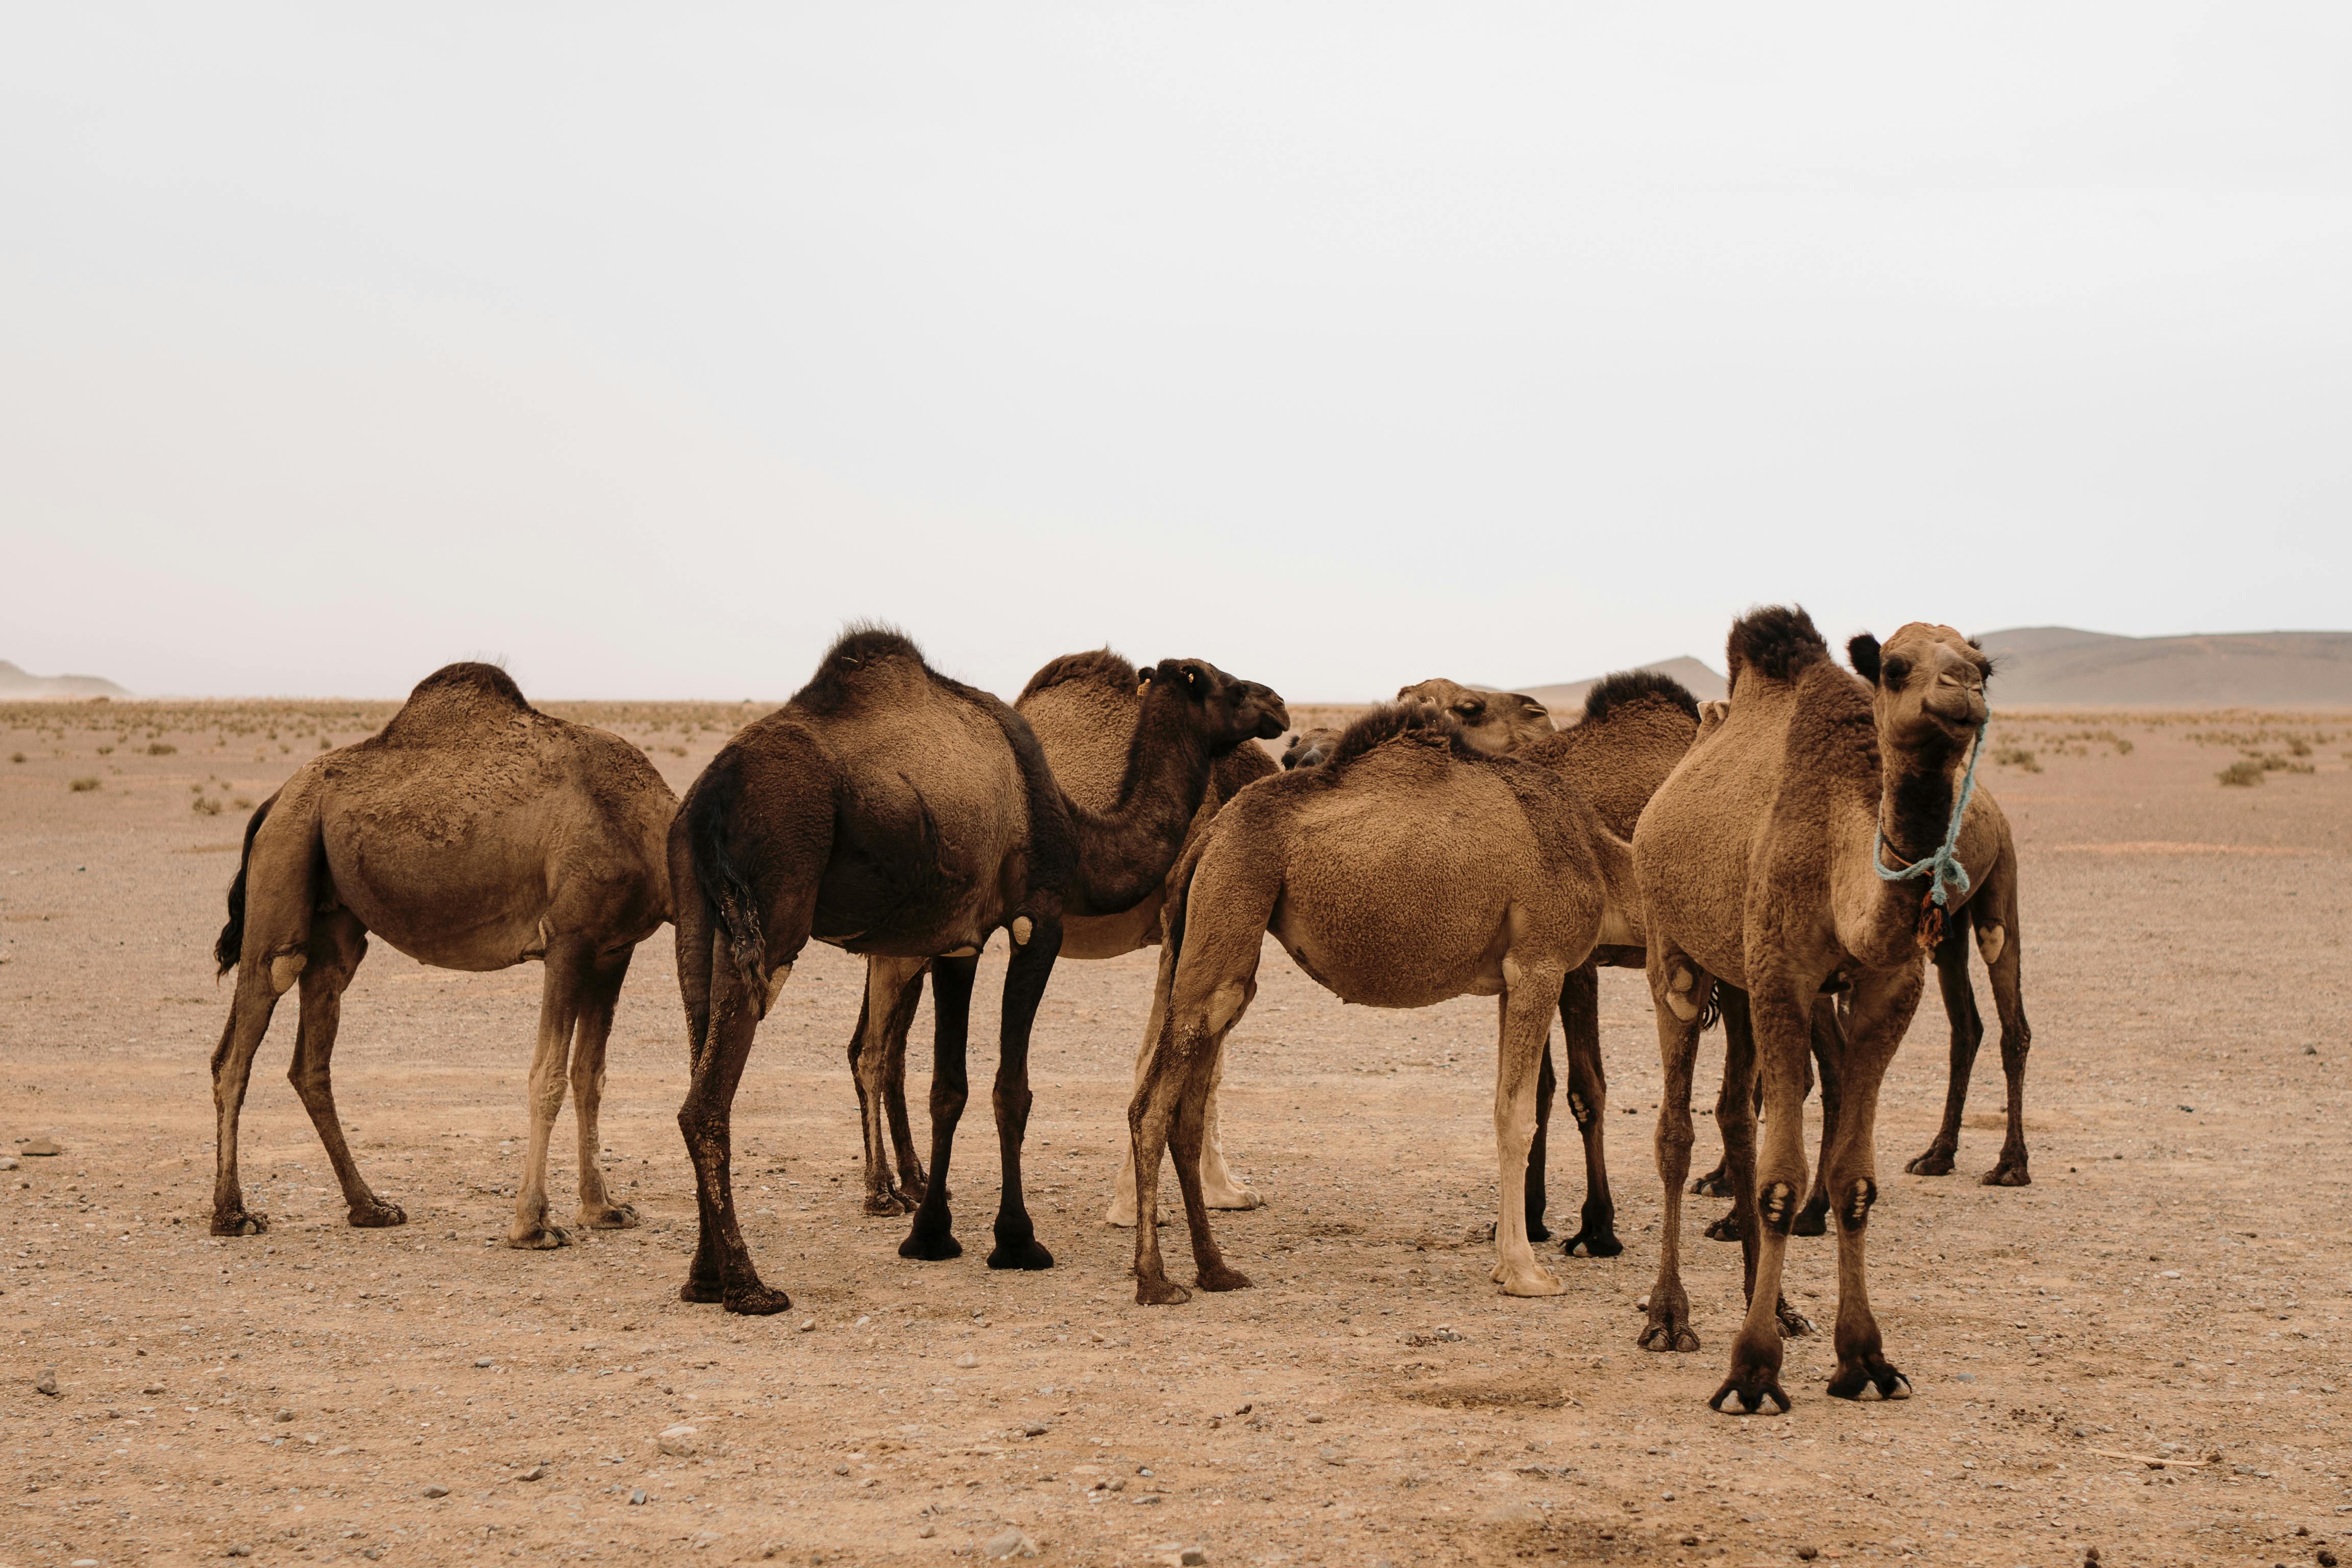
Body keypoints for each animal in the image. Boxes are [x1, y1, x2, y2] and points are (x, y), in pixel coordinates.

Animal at [209, 663, 682, 1251]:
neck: (643, 826)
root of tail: (275, 798)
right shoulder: (568, 939)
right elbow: (548, 1076)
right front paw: (532, 1226)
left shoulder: (614, 949)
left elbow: (589, 1077)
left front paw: (603, 1209)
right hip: (287, 850)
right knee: (251, 1021)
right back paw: (233, 1214)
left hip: (332, 910)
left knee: (310, 1054)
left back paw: (370, 1206)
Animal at [842, 649, 1289, 1222]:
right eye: (1226, 685)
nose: (1279, 703)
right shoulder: (1181, 917)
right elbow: (1166, 1053)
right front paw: (1132, 1207)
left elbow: (1208, 1064)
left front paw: (1226, 1193)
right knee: (872, 1050)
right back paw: (880, 1190)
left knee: (889, 1050)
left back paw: (915, 1182)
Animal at [1124, 705, 1656, 1307]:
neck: (1601, 860)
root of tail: (1210, 835)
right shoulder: (1540, 963)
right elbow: (1517, 1117)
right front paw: (1526, 1273)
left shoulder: (1511, 979)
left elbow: (1508, 1104)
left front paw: (1507, 1262)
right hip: (1231, 896)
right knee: (1153, 1105)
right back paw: (1154, 1280)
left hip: (1220, 933)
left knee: (1187, 1104)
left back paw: (1216, 1270)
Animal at [1637, 606, 2004, 1419]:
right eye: (1895, 668)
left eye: (1985, 667)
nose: (1962, 690)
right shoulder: (1783, 973)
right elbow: (1784, 1178)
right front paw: (1751, 1374)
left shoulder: (1886, 990)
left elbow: (1851, 1178)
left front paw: (1865, 1358)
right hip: (1672, 950)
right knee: (1676, 1128)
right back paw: (1669, 1317)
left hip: (1736, 972)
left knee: (1736, 1115)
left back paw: (1773, 1306)